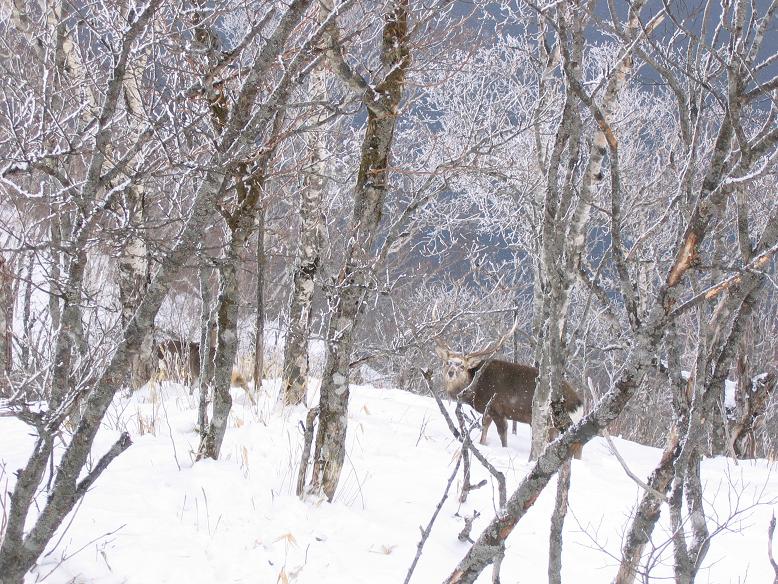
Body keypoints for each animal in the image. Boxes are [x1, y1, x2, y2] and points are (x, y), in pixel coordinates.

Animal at [430, 334, 584, 452]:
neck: (475, 389)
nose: (451, 372)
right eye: (447, 362)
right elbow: (485, 427)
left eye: (462, 365)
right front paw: (482, 443)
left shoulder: (496, 407)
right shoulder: (489, 410)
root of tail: (579, 403)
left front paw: (504, 449)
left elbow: (502, 433)